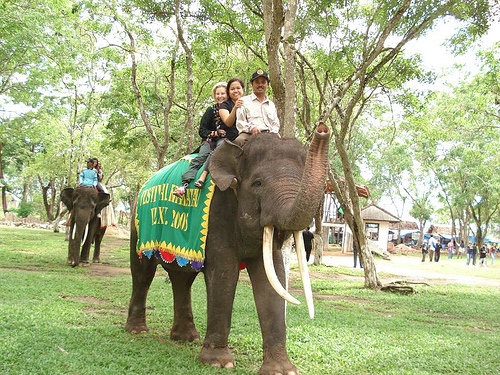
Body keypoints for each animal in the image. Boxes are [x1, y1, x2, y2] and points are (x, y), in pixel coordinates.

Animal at [125, 125, 330, 374]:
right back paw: (137, 331)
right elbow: (224, 273)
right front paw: (219, 363)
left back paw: (186, 338)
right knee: (143, 273)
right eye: (258, 183)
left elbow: (272, 279)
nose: (322, 129)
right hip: (137, 226)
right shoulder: (217, 213)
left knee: (181, 278)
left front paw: (283, 370)